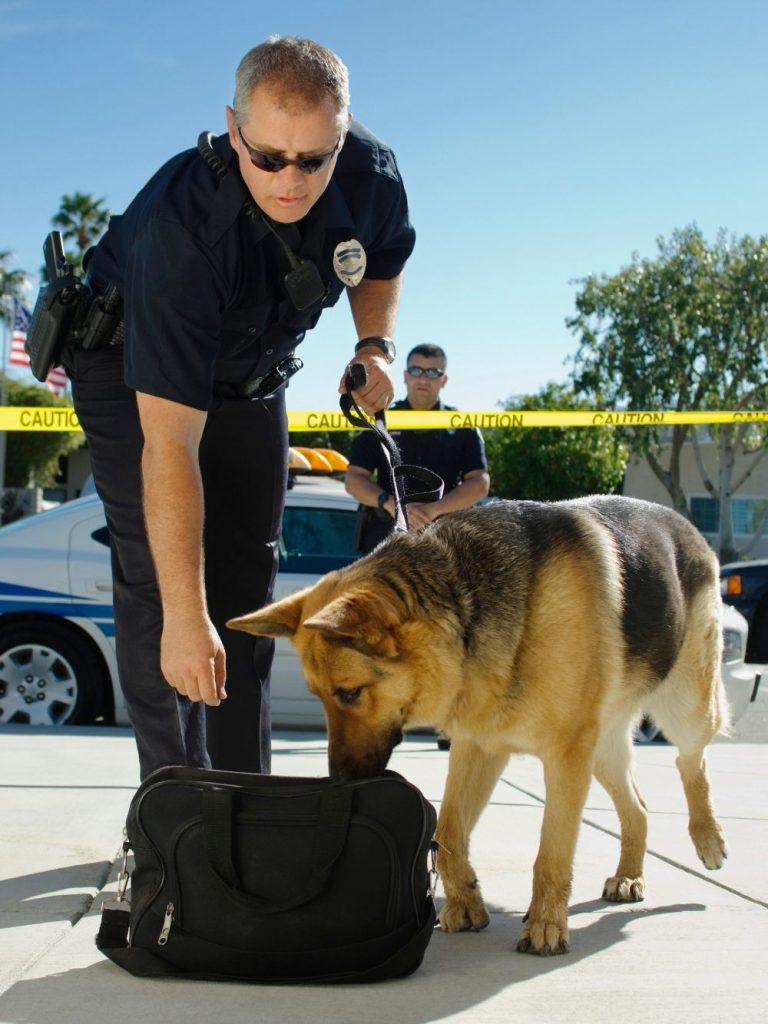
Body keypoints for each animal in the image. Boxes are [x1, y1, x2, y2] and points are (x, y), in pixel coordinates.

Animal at [227, 499, 729, 954]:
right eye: (318, 696)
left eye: (348, 693)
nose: (340, 781)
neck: (467, 605)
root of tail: (686, 523)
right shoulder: (480, 746)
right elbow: (448, 830)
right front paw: (466, 902)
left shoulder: (565, 758)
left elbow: (552, 854)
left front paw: (546, 926)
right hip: (602, 752)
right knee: (639, 808)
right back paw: (628, 876)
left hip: (682, 708)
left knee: (693, 761)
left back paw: (708, 837)